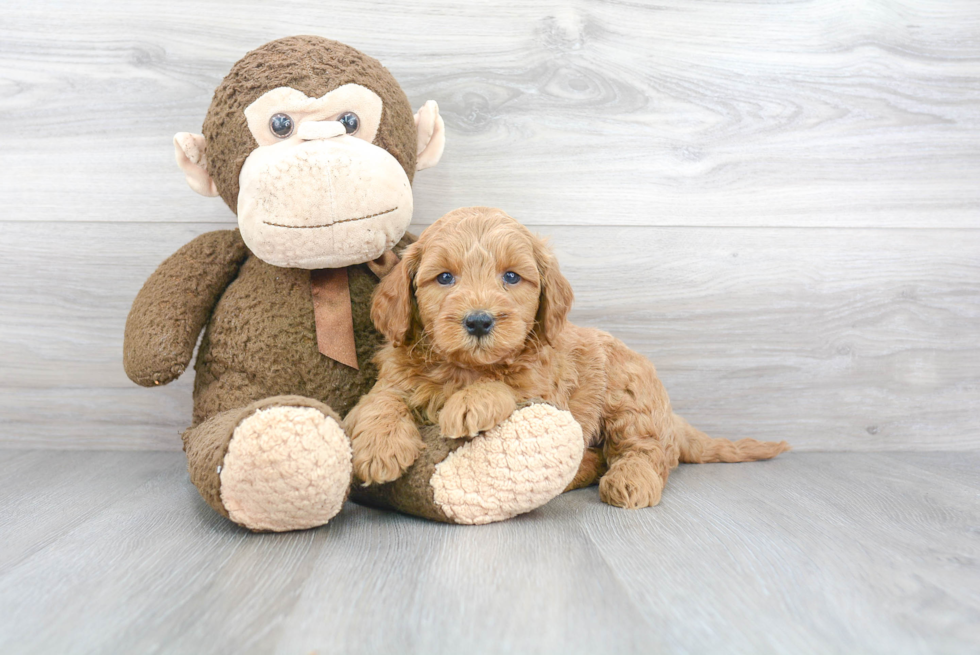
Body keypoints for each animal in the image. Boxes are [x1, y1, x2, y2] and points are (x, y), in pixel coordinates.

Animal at [348, 208, 792, 510]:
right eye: (444, 278)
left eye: (511, 277)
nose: (479, 321)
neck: (466, 367)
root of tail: (672, 419)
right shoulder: (395, 376)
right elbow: (380, 401)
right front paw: (379, 446)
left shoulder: (545, 391)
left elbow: (508, 387)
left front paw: (472, 401)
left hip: (630, 398)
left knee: (646, 452)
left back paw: (630, 479)